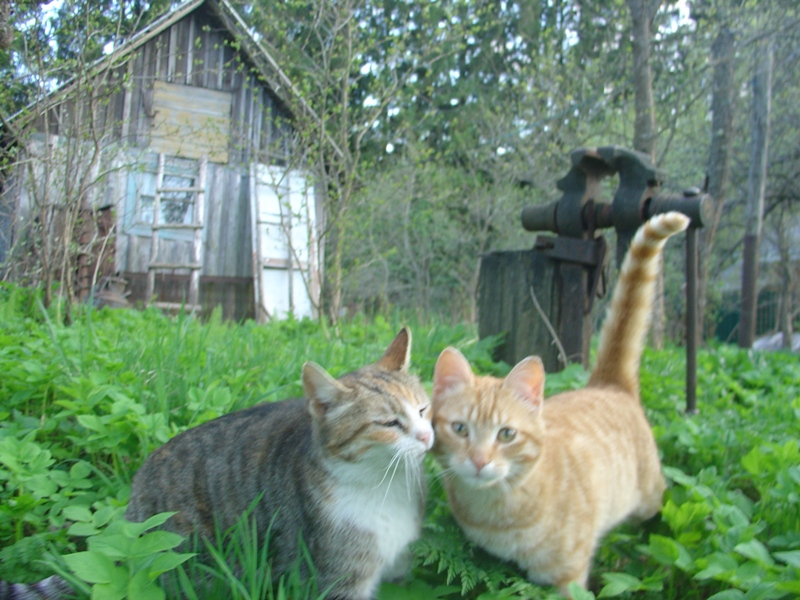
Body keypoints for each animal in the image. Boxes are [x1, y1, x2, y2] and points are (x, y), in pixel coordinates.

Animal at [0, 328, 434, 600]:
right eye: (389, 424)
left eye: (423, 410)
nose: (427, 437)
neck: (384, 486)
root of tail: (134, 499)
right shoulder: (336, 579)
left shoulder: (401, 567)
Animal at [432, 211, 688, 596]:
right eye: (460, 429)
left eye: (506, 434)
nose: (479, 461)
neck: (496, 507)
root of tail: (608, 383)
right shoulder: (488, 559)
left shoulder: (568, 577)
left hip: (650, 500)